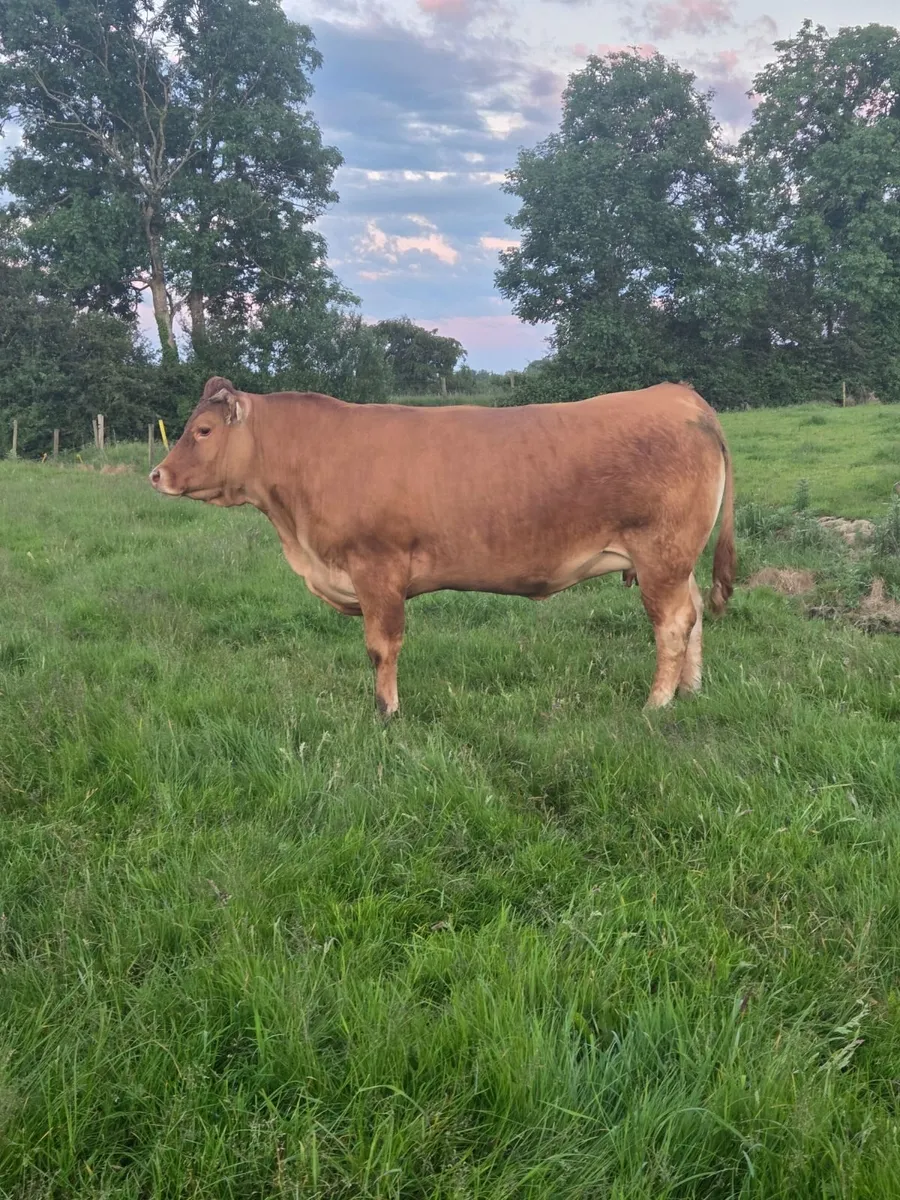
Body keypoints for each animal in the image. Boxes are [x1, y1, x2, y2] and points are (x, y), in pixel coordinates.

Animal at [150, 377, 735, 716]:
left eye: (203, 431)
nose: (157, 474)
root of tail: (681, 395)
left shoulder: (377, 568)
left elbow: (381, 647)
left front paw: (386, 711)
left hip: (660, 555)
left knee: (672, 625)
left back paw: (657, 703)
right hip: (677, 561)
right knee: (694, 615)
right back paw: (690, 691)